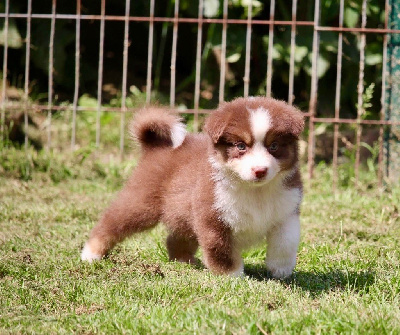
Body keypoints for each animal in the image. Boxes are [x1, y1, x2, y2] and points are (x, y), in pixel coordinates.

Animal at [83, 96, 304, 278]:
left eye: (274, 146)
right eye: (241, 146)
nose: (260, 170)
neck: (255, 191)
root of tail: (156, 146)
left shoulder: (287, 210)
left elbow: (286, 241)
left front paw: (280, 270)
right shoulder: (213, 215)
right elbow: (221, 249)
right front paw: (232, 277)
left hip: (182, 211)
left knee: (176, 238)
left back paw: (184, 261)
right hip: (142, 202)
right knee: (112, 222)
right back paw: (91, 253)